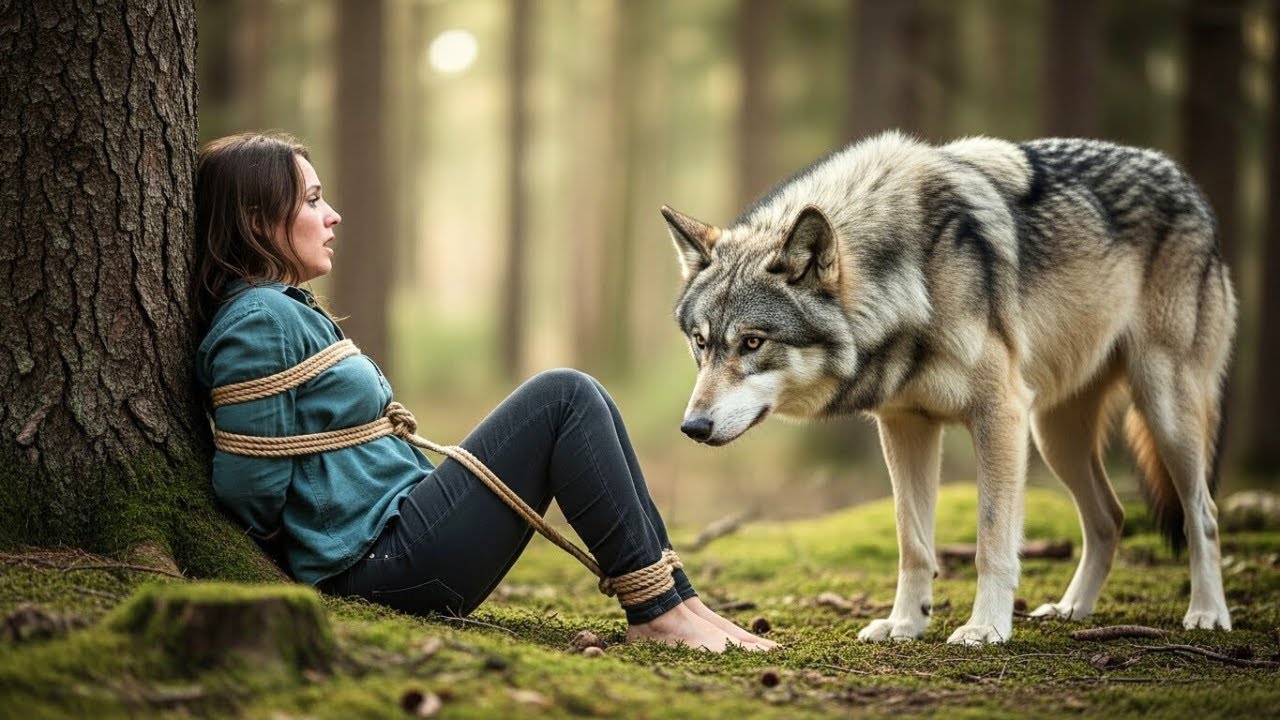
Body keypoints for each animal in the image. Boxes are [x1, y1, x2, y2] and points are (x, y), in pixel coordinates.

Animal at [662, 131, 1236, 645]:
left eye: (753, 342)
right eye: (700, 343)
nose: (692, 427)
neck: (913, 280)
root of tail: (1184, 180)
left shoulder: (998, 415)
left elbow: (991, 539)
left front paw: (986, 629)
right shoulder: (905, 426)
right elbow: (912, 541)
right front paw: (905, 625)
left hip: (1160, 410)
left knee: (1202, 513)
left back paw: (1207, 613)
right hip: (1055, 437)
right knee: (1110, 518)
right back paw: (1073, 609)